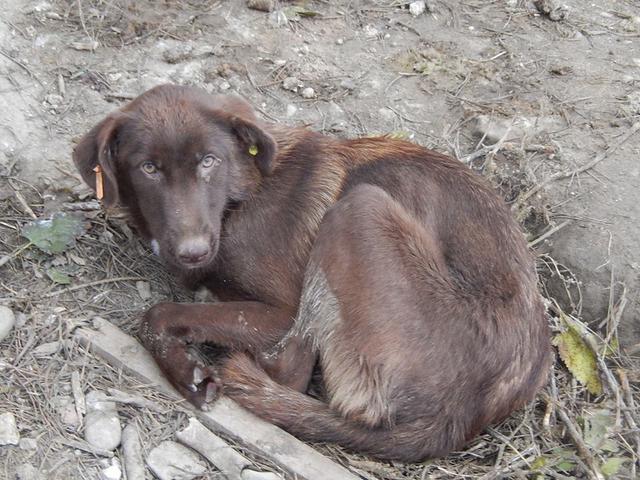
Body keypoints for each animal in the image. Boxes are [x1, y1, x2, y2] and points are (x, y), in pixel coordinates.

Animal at [71, 84, 552, 464]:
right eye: (148, 168)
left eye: (209, 161)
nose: (193, 253)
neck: (241, 197)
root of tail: (460, 417)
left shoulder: (281, 314)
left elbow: (157, 314)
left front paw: (187, 371)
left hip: (359, 208)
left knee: (290, 375)